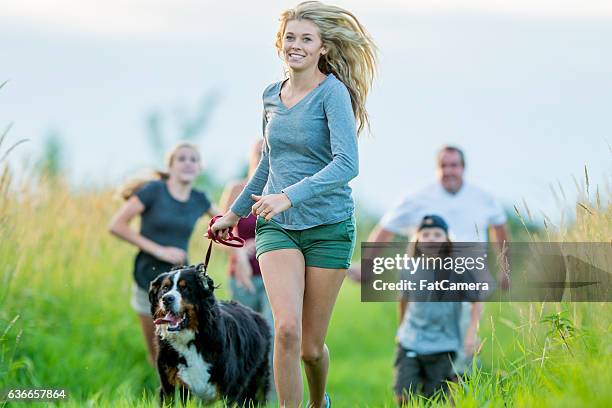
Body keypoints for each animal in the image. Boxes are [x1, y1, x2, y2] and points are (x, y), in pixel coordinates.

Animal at [148, 264, 270, 404]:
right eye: (165, 288)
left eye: (185, 288)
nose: (166, 299)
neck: (191, 340)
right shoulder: (171, 385)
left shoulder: (227, 388)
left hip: (256, 384)